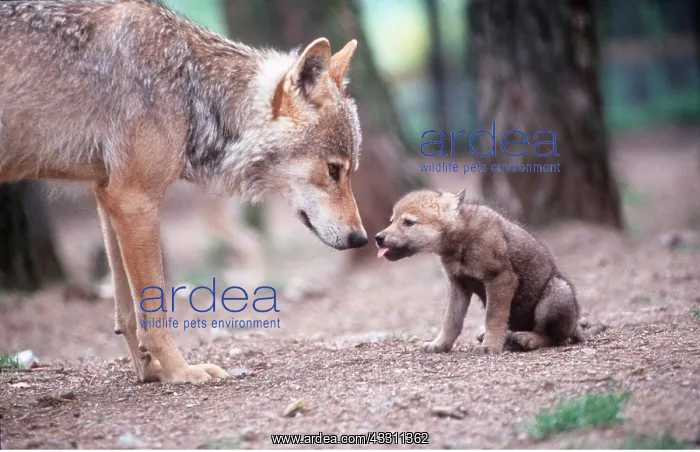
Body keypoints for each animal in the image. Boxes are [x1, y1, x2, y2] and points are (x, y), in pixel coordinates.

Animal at [0, 0, 367, 383]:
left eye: (350, 171)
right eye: (333, 170)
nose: (361, 238)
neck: (190, 89)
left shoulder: (106, 195)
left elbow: (127, 312)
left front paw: (149, 371)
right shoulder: (133, 201)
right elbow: (154, 312)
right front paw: (180, 371)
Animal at [375, 189, 598, 355]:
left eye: (408, 222)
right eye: (392, 220)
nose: (378, 238)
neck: (461, 243)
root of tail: (576, 325)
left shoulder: (501, 279)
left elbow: (493, 317)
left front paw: (490, 346)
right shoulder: (458, 284)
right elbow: (450, 320)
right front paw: (439, 345)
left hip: (557, 292)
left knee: (554, 337)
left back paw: (527, 339)